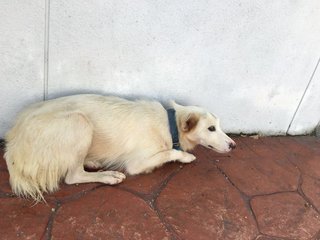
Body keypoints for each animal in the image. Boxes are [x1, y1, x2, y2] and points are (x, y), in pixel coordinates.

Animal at [4, 94, 235, 201]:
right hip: (80, 122)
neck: (170, 125)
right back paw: (108, 176)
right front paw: (185, 156)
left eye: (219, 125)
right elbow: (169, 152)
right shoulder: (137, 163)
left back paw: (93, 161)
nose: (233, 145)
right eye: (211, 128)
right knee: (72, 176)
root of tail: (12, 146)